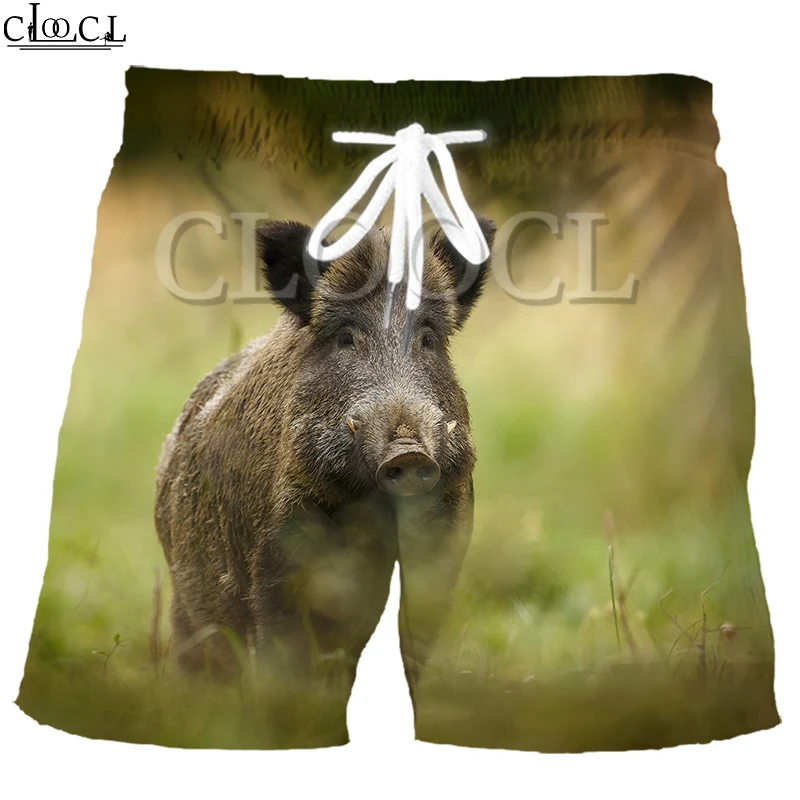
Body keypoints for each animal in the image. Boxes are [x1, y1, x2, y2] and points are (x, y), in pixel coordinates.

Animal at [154, 216, 495, 689]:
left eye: (428, 339)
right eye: (346, 337)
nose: (408, 452)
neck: (373, 512)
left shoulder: (442, 545)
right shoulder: (280, 553)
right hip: (188, 608)